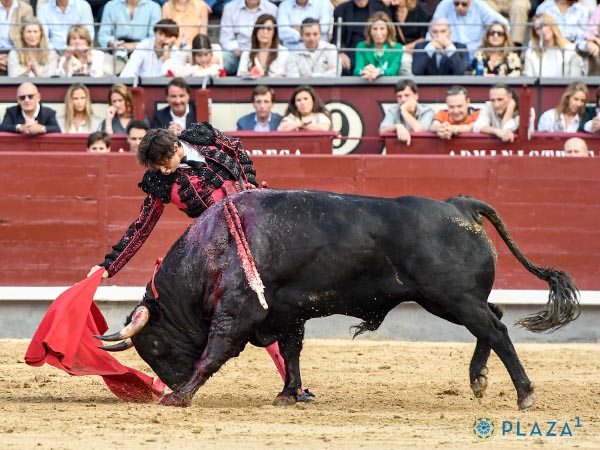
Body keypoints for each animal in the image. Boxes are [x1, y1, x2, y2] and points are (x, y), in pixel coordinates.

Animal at [99, 188, 580, 410]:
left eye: (153, 346)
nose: (168, 384)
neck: (212, 249)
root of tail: (459, 205)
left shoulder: (237, 313)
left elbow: (214, 353)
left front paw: (179, 398)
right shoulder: (287, 314)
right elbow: (292, 352)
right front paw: (289, 394)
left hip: (453, 297)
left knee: (496, 329)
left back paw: (524, 394)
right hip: (447, 302)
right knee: (493, 319)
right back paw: (479, 379)